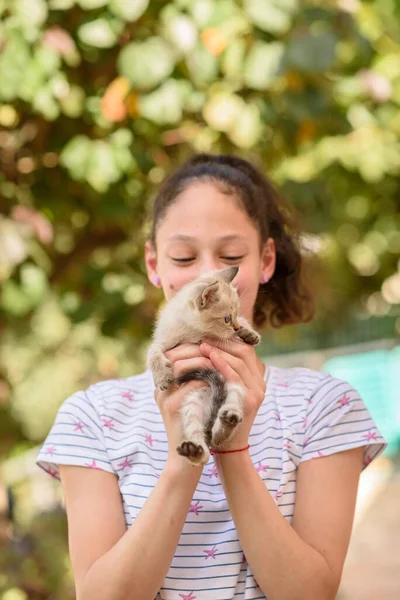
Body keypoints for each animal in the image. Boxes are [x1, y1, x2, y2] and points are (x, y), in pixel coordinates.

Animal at [147, 268, 262, 468]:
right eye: (226, 318)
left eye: (236, 313)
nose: (235, 327)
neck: (196, 331)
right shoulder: (164, 342)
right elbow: (153, 353)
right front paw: (162, 377)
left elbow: (244, 324)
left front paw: (249, 333)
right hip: (191, 404)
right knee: (203, 442)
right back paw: (195, 451)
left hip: (234, 388)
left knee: (218, 437)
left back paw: (228, 420)